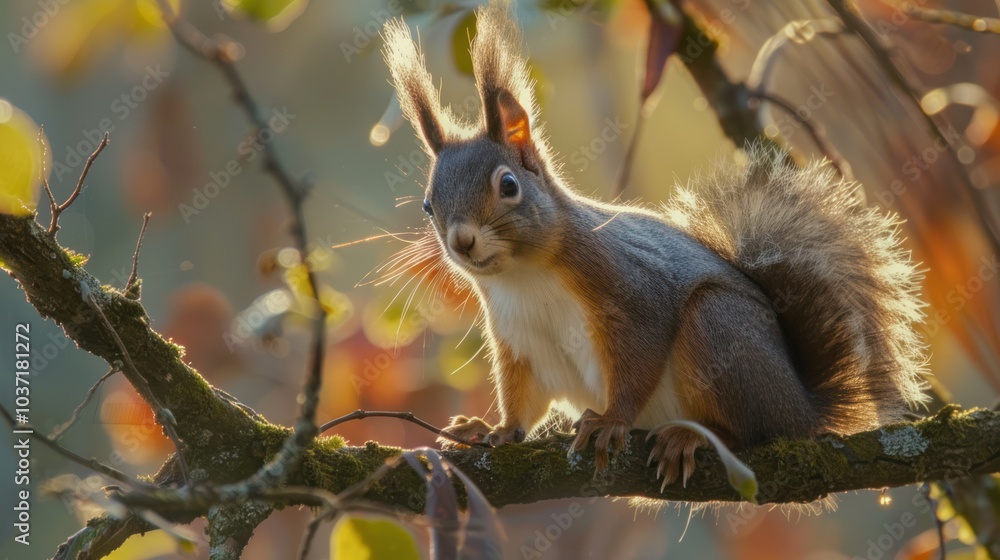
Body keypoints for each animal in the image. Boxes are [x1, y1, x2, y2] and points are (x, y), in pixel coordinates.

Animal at [382, 0, 928, 487]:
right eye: (428, 205)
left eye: (509, 185)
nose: (462, 241)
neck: (525, 275)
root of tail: (801, 406)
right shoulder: (519, 340)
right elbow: (523, 399)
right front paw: (493, 430)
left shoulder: (631, 290)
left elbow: (638, 362)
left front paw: (611, 420)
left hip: (720, 331)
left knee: (751, 431)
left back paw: (695, 437)